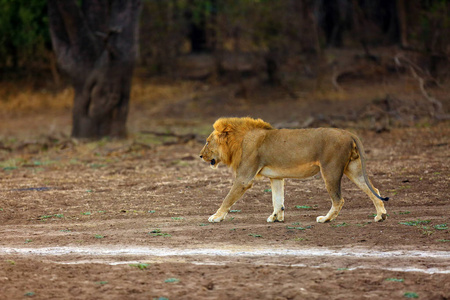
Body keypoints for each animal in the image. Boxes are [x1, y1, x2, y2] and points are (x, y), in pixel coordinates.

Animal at [199, 116, 388, 223]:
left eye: (207, 142)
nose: (200, 156)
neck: (239, 141)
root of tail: (348, 133)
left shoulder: (244, 178)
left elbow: (227, 199)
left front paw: (216, 217)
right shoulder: (276, 177)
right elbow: (277, 199)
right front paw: (276, 217)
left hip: (330, 169)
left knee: (338, 199)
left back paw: (325, 219)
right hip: (353, 169)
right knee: (374, 190)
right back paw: (381, 216)